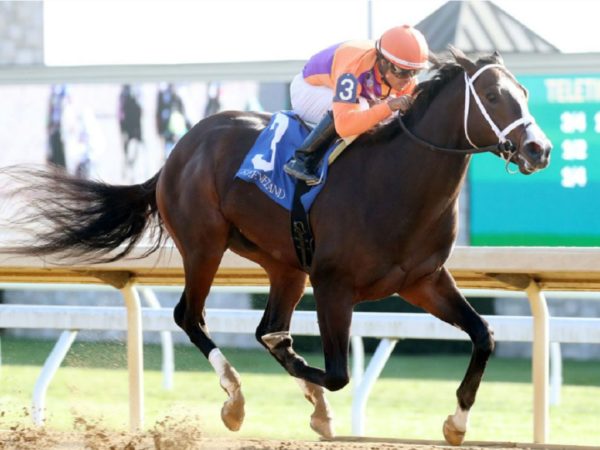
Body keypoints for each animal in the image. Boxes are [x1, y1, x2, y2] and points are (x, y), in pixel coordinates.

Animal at [4, 48, 552, 442]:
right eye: (495, 96)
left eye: (524, 92)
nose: (539, 148)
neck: (396, 184)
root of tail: (179, 150)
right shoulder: (334, 286)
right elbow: (336, 373)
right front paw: (311, 400)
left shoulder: (422, 281)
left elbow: (484, 335)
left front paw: (456, 422)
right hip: (204, 245)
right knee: (191, 316)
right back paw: (234, 399)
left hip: (284, 264)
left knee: (267, 325)